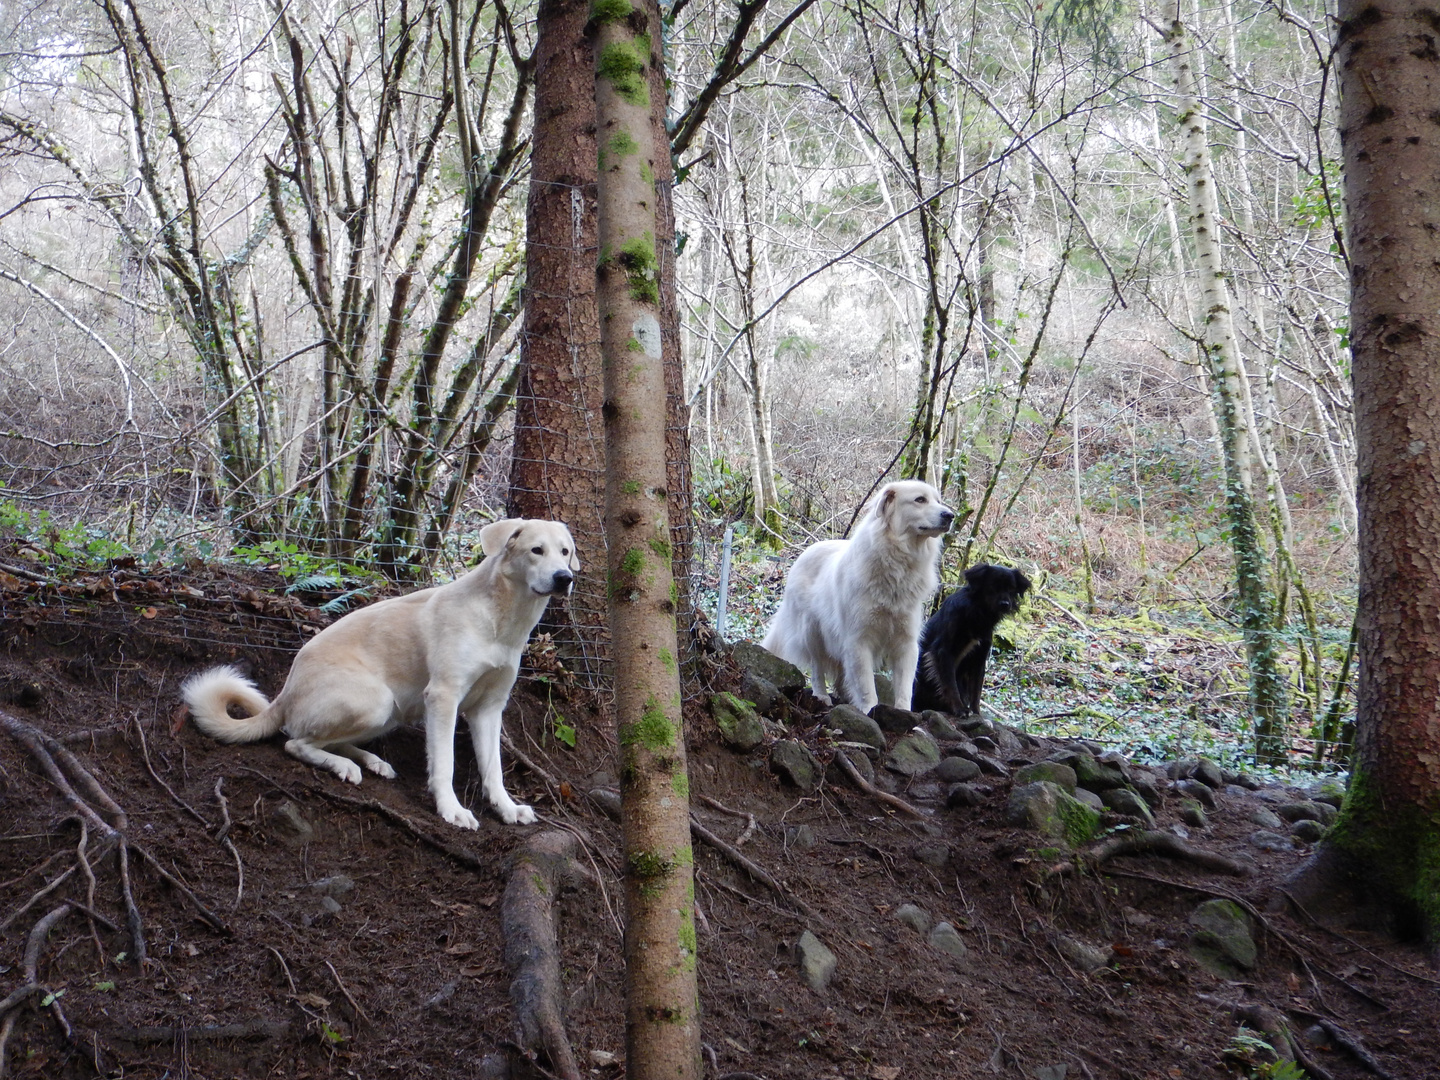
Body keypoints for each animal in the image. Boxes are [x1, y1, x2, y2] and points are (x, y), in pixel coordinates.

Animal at [182, 521, 576, 835]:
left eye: (565, 551)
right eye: (536, 550)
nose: (565, 578)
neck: (500, 620)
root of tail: (285, 693)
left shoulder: (489, 709)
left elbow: (494, 770)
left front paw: (506, 809)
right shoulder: (444, 698)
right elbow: (444, 764)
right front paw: (450, 810)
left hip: (390, 713)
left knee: (325, 740)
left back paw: (369, 761)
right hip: (375, 701)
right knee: (296, 742)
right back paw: (344, 765)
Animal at [910, 567, 1025, 720]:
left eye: (1011, 588)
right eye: (993, 586)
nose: (1005, 604)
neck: (978, 612)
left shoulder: (979, 658)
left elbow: (976, 691)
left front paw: (977, 713)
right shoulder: (943, 651)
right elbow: (950, 684)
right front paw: (959, 709)